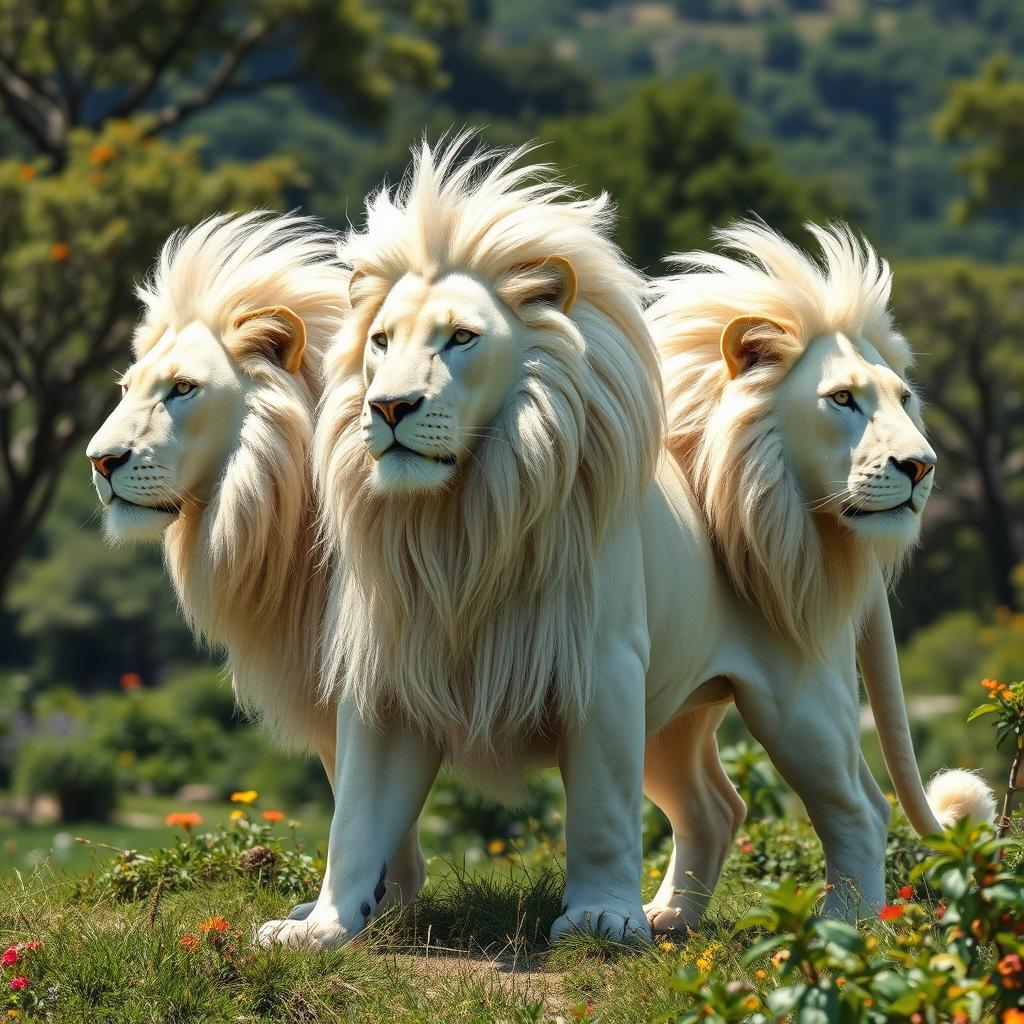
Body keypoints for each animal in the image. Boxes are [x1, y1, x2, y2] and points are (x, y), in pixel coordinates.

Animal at [258, 140, 992, 950]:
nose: (389, 406)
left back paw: (844, 927)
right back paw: (674, 918)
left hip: (798, 701)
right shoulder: (388, 677)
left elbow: (600, 813)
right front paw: (321, 928)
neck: (460, 524)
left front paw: (600, 919)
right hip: (676, 712)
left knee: (859, 806)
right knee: (717, 807)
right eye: (381, 342)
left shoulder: (604, 668)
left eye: (461, 338)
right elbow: (356, 818)